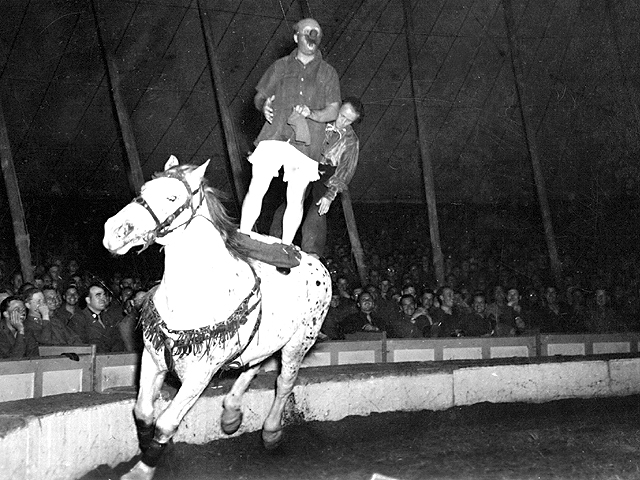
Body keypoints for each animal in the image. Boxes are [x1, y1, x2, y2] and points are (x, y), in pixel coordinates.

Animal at [102, 156, 332, 478]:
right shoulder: (152, 357)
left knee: (284, 383)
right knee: (253, 367)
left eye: (172, 197)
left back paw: (271, 432)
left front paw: (143, 469)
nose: (115, 231)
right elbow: (143, 413)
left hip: (298, 344)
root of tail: (315, 262)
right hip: (263, 341)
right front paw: (147, 451)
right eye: (144, 189)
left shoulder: (200, 374)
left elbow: (165, 423)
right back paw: (231, 413)